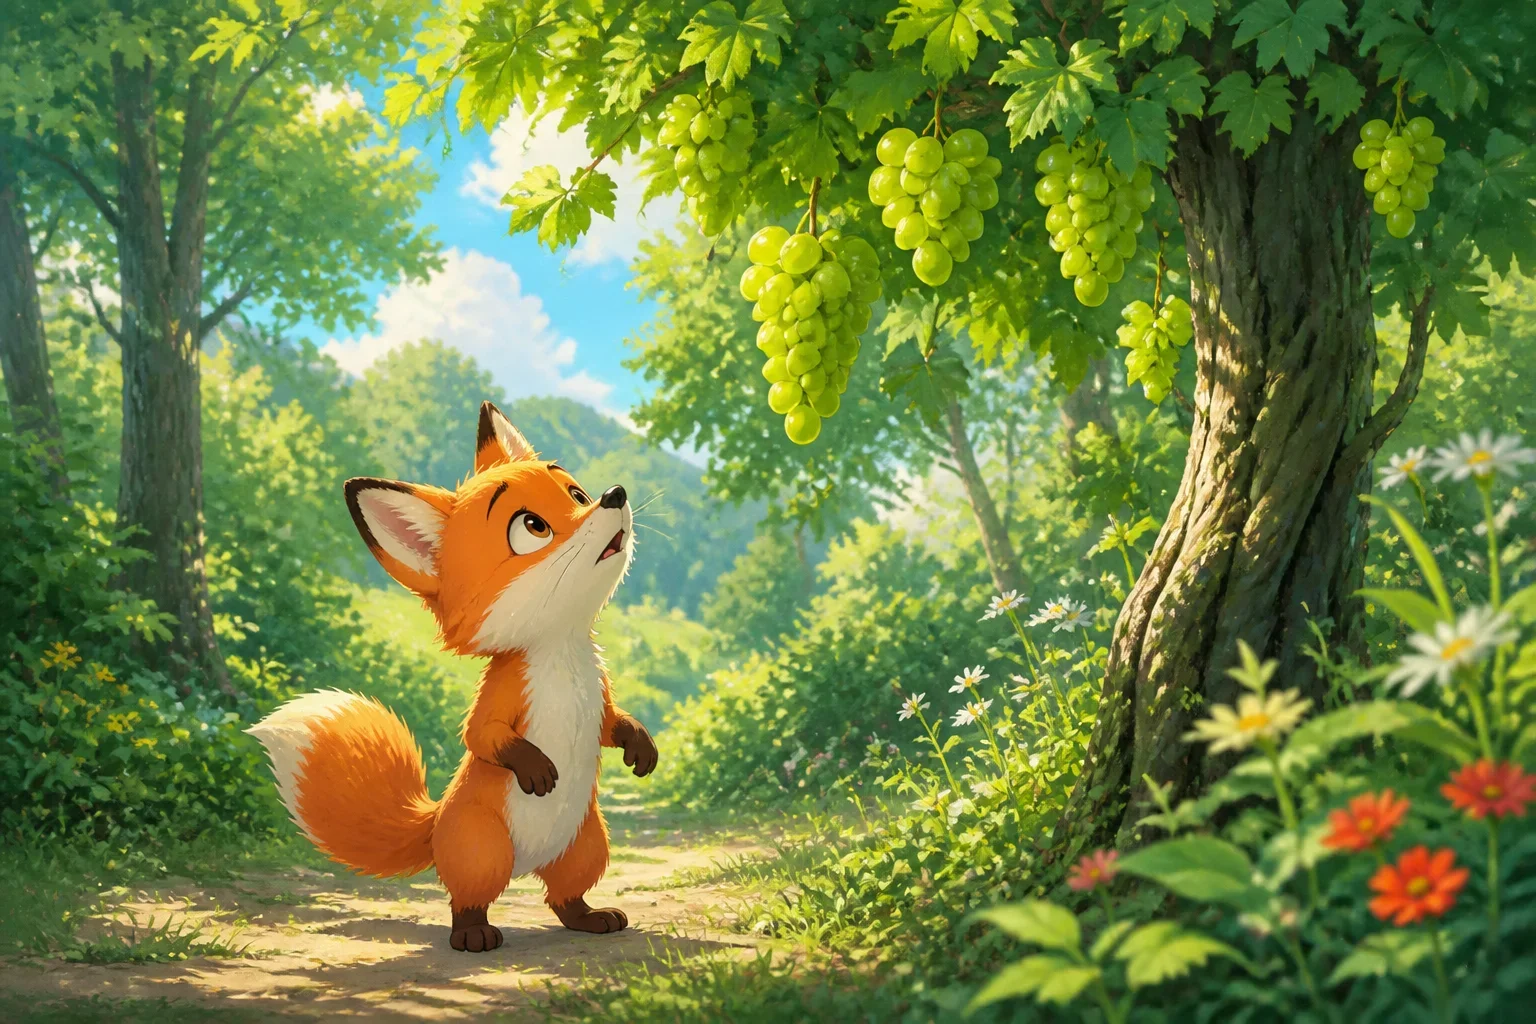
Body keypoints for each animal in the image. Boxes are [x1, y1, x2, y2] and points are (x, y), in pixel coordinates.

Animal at [246, 401, 658, 952]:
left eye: (576, 494)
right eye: (532, 526)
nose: (614, 495)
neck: (562, 654)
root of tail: (437, 820)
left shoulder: (601, 698)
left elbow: (614, 723)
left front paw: (641, 747)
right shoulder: (499, 698)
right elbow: (482, 735)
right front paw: (534, 768)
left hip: (586, 843)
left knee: (563, 897)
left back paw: (591, 917)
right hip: (482, 845)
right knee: (468, 899)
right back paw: (474, 935)